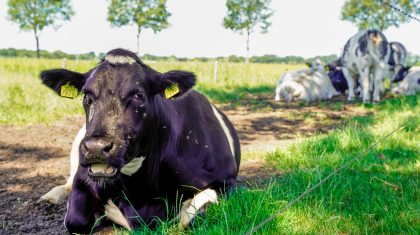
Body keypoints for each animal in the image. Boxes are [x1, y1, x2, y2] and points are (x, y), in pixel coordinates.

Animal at [41, 48, 243, 233]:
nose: (96, 148)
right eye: (86, 95)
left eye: (138, 95)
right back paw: (50, 197)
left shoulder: (225, 181)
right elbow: (75, 220)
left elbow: (192, 216)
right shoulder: (83, 180)